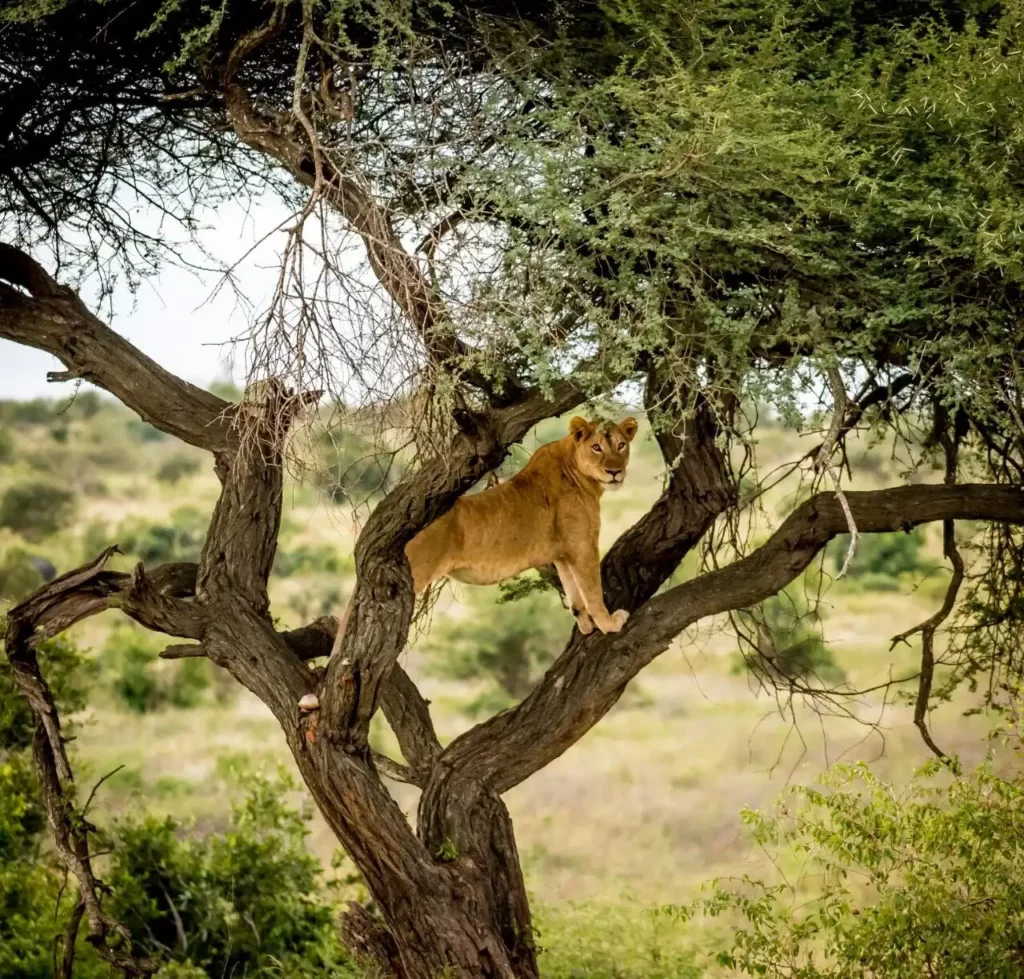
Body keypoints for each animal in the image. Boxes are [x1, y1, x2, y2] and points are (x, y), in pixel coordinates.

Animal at [299, 416, 638, 710]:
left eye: (621, 445)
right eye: (597, 447)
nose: (615, 472)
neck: (581, 474)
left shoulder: (563, 552)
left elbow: (576, 594)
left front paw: (587, 625)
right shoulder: (582, 547)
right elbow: (592, 591)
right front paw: (609, 623)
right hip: (410, 573)